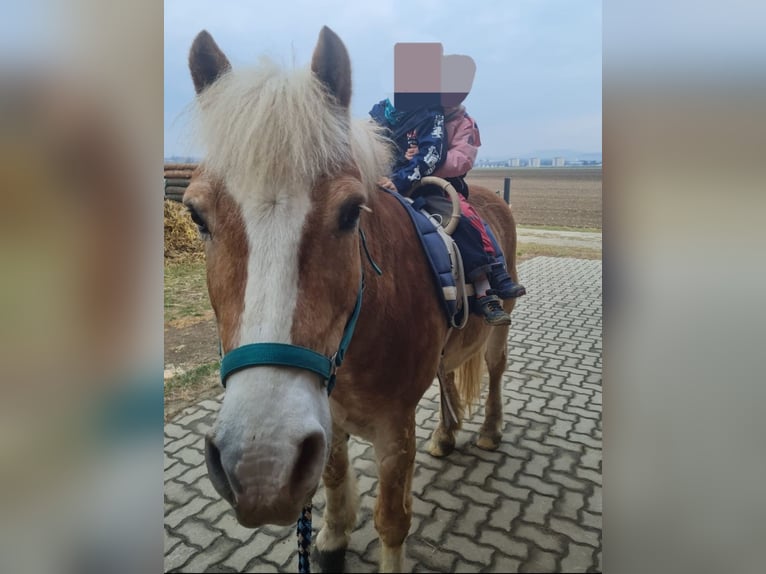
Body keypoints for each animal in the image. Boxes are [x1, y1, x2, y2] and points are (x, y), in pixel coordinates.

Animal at [184, 24, 520, 572]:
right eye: (196, 215)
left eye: (349, 212)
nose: (261, 466)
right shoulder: (326, 419)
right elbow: (332, 473)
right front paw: (333, 536)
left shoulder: (394, 429)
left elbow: (392, 519)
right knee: (449, 372)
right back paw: (445, 436)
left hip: (499, 327)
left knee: (494, 369)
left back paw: (489, 429)